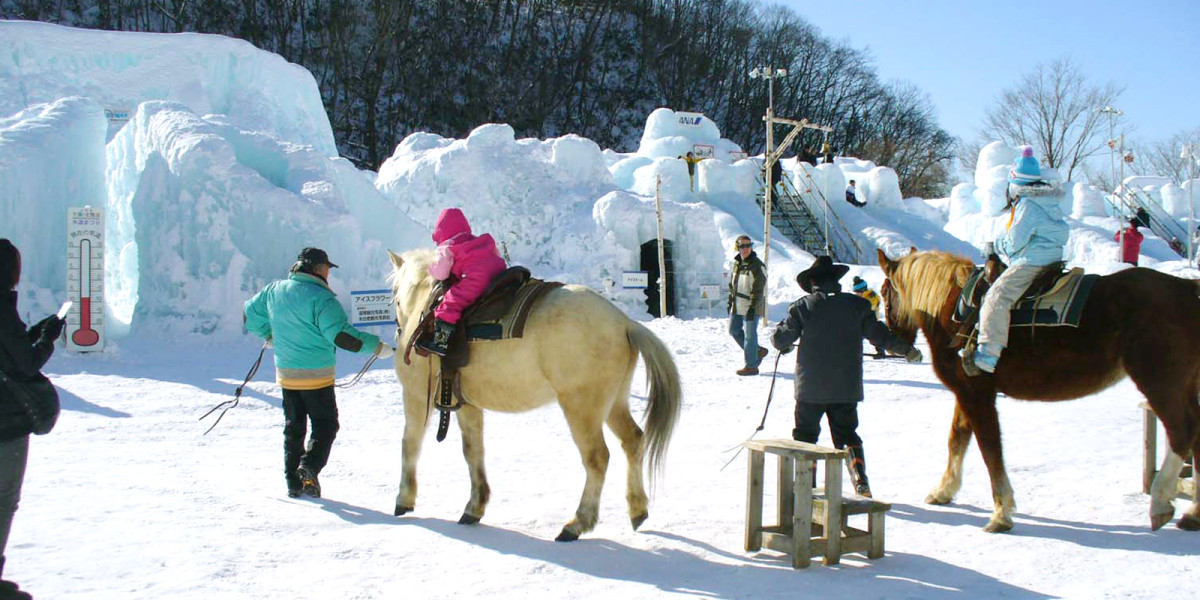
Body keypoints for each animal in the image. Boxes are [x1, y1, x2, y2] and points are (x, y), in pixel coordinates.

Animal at [386, 250, 681, 542]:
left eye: (394, 294)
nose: (397, 330)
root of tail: (624, 323)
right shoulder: (467, 404)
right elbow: (473, 451)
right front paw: (474, 507)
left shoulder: (416, 395)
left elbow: (410, 443)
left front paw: (404, 499)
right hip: (614, 403)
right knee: (633, 441)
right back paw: (637, 509)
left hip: (581, 408)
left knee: (597, 458)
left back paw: (577, 523)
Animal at [873, 250, 1200, 532]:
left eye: (885, 293)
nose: (898, 343)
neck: (952, 310)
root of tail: (1187, 289)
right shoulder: (967, 392)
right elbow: (957, 438)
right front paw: (944, 490)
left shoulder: (977, 395)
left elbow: (990, 449)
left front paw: (1001, 512)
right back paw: (1193, 513)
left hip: (1159, 382)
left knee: (1181, 433)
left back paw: (1160, 502)